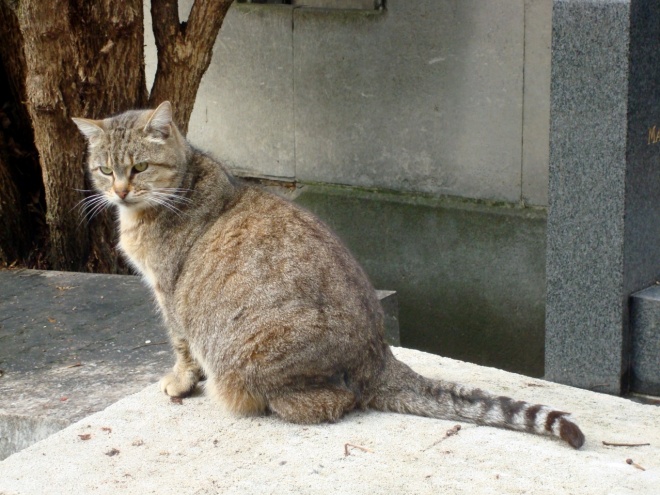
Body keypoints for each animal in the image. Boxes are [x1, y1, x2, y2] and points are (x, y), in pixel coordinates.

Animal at [73, 101, 584, 450]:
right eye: (105, 169)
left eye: (139, 167)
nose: (120, 191)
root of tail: (380, 356)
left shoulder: (169, 295)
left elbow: (180, 347)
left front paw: (179, 382)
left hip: (253, 358)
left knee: (331, 401)